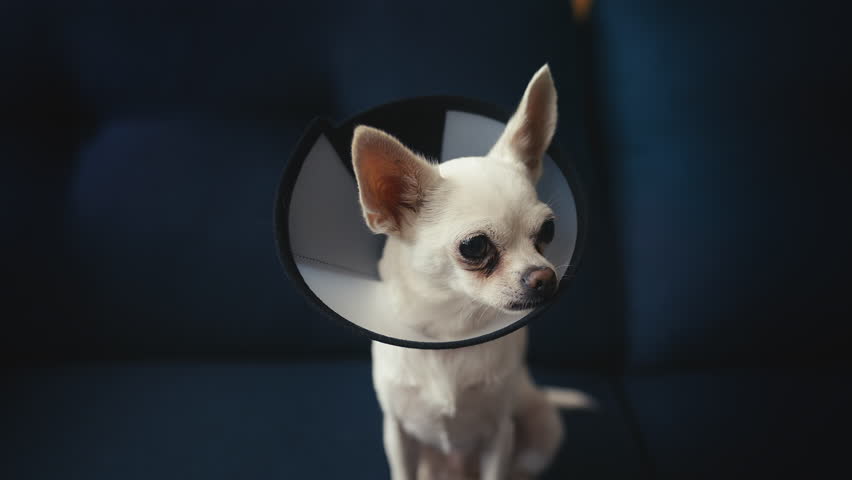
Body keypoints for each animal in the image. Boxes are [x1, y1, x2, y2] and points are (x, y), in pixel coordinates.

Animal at [352, 65, 576, 479]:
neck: (450, 334)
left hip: (543, 427)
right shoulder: (398, 433)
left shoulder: (499, 435)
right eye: (474, 246)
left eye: (548, 230)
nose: (546, 277)